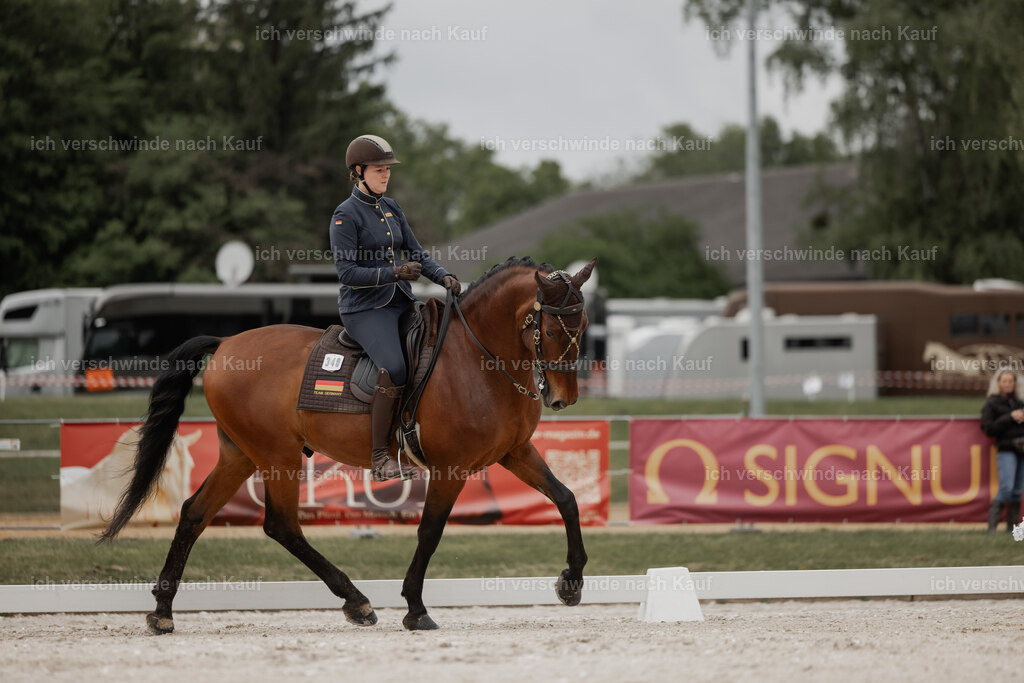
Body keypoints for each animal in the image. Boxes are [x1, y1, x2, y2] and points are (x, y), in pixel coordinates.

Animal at [100, 256, 597, 634]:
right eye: (552, 330)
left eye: (585, 324)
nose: (562, 398)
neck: (478, 359)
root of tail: (225, 344)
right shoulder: (450, 469)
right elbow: (430, 532)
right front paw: (415, 609)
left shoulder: (515, 453)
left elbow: (566, 499)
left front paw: (571, 582)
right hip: (277, 457)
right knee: (281, 526)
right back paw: (356, 600)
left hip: (240, 455)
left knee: (194, 514)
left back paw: (163, 612)